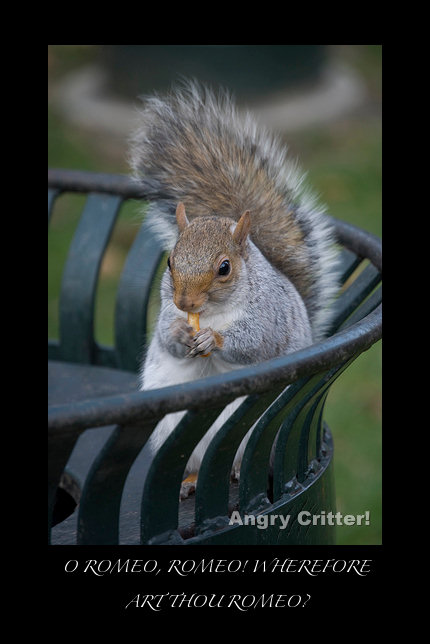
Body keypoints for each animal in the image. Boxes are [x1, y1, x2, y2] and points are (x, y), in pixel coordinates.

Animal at [127, 82, 340, 498]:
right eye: (170, 262)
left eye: (224, 268)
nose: (185, 301)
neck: (212, 313)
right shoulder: (166, 309)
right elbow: (165, 338)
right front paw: (180, 334)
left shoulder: (269, 317)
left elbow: (254, 343)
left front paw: (214, 340)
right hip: (175, 434)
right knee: (194, 466)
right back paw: (190, 482)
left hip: (255, 433)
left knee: (241, 463)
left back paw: (239, 472)